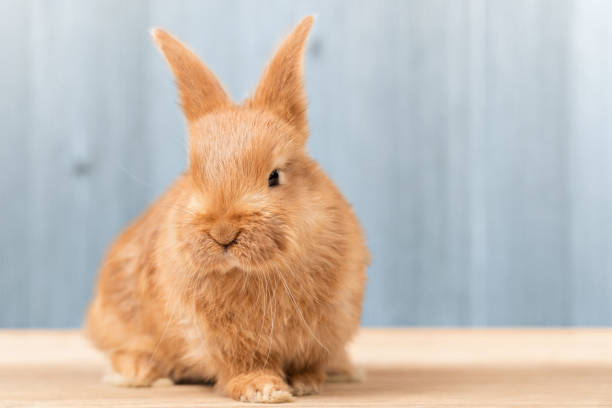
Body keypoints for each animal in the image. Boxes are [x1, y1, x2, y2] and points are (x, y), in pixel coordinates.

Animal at [85, 15, 368, 402]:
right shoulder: (221, 340)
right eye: (193, 173)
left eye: (274, 176)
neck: (254, 273)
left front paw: (306, 383)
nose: (223, 233)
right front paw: (264, 389)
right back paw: (142, 373)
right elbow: (241, 365)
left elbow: (309, 362)